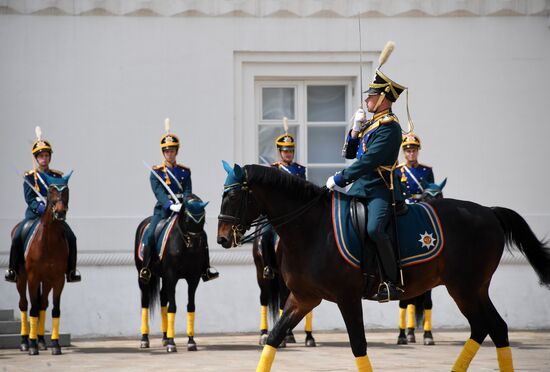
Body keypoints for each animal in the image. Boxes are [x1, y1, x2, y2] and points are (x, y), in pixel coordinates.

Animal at [14, 171, 74, 354]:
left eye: (66, 190)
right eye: (51, 191)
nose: (60, 212)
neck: (49, 240)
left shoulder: (58, 279)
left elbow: (55, 309)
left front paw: (55, 344)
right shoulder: (33, 278)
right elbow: (32, 309)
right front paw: (32, 345)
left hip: (46, 281)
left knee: (43, 304)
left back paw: (41, 340)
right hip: (21, 279)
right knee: (24, 305)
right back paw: (25, 341)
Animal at [134, 193, 211, 354]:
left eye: (203, 219)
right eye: (187, 219)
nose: (196, 244)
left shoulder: (193, 279)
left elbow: (190, 306)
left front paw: (191, 341)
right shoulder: (172, 276)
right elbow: (173, 307)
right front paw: (171, 343)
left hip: (164, 277)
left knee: (163, 297)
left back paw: (164, 336)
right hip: (143, 276)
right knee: (145, 301)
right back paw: (145, 339)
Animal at [396, 178, 448, 346]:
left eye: (440, 195)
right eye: (426, 196)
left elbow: (427, 304)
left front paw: (428, 335)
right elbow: (404, 304)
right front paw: (402, 335)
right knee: (407, 303)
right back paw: (407, 333)